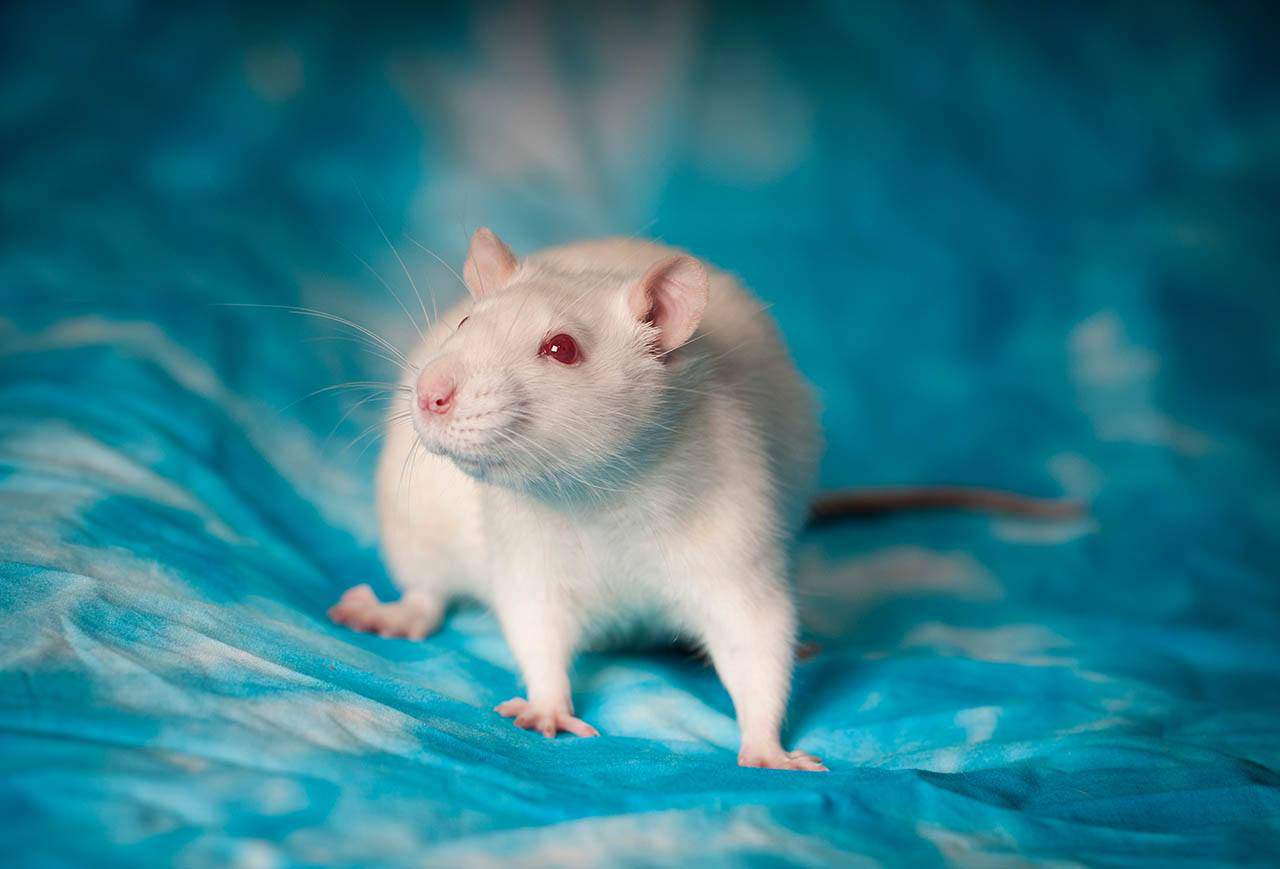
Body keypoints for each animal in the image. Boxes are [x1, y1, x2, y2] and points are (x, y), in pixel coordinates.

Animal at [328, 228, 1076, 771]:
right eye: (463, 323)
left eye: (561, 348)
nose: (431, 393)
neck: (603, 497)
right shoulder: (526, 541)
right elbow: (533, 619)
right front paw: (545, 703)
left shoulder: (733, 524)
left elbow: (757, 629)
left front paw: (767, 744)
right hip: (414, 531)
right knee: (428, 592)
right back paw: (395, 612)